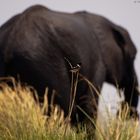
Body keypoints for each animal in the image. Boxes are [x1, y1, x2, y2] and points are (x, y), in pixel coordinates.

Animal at [0, 4, 139, 127]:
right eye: (133, 57)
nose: (122, 114)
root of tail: (8, 42)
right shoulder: (99, 63)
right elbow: (88, 105)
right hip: (44, 64)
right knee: (64, 109)